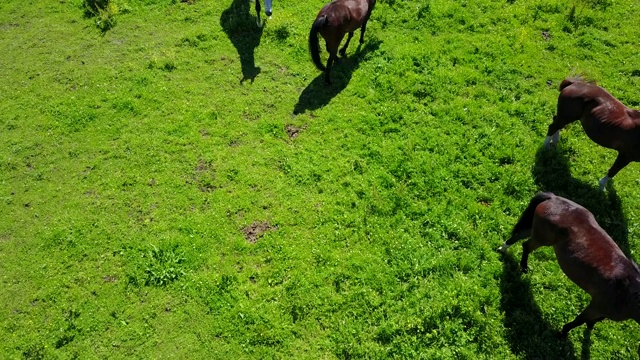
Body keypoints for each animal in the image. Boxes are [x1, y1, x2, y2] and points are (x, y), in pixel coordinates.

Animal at [500, 193, 640, 336]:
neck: (628, 293)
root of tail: (554, 198)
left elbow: (593, 320)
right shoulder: (596, 307)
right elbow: (579, 320)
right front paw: (564, 332)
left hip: (535, 230)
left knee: (519, 237)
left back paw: (503, 249)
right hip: (542, 238)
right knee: (526, 246)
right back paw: (523, 266)